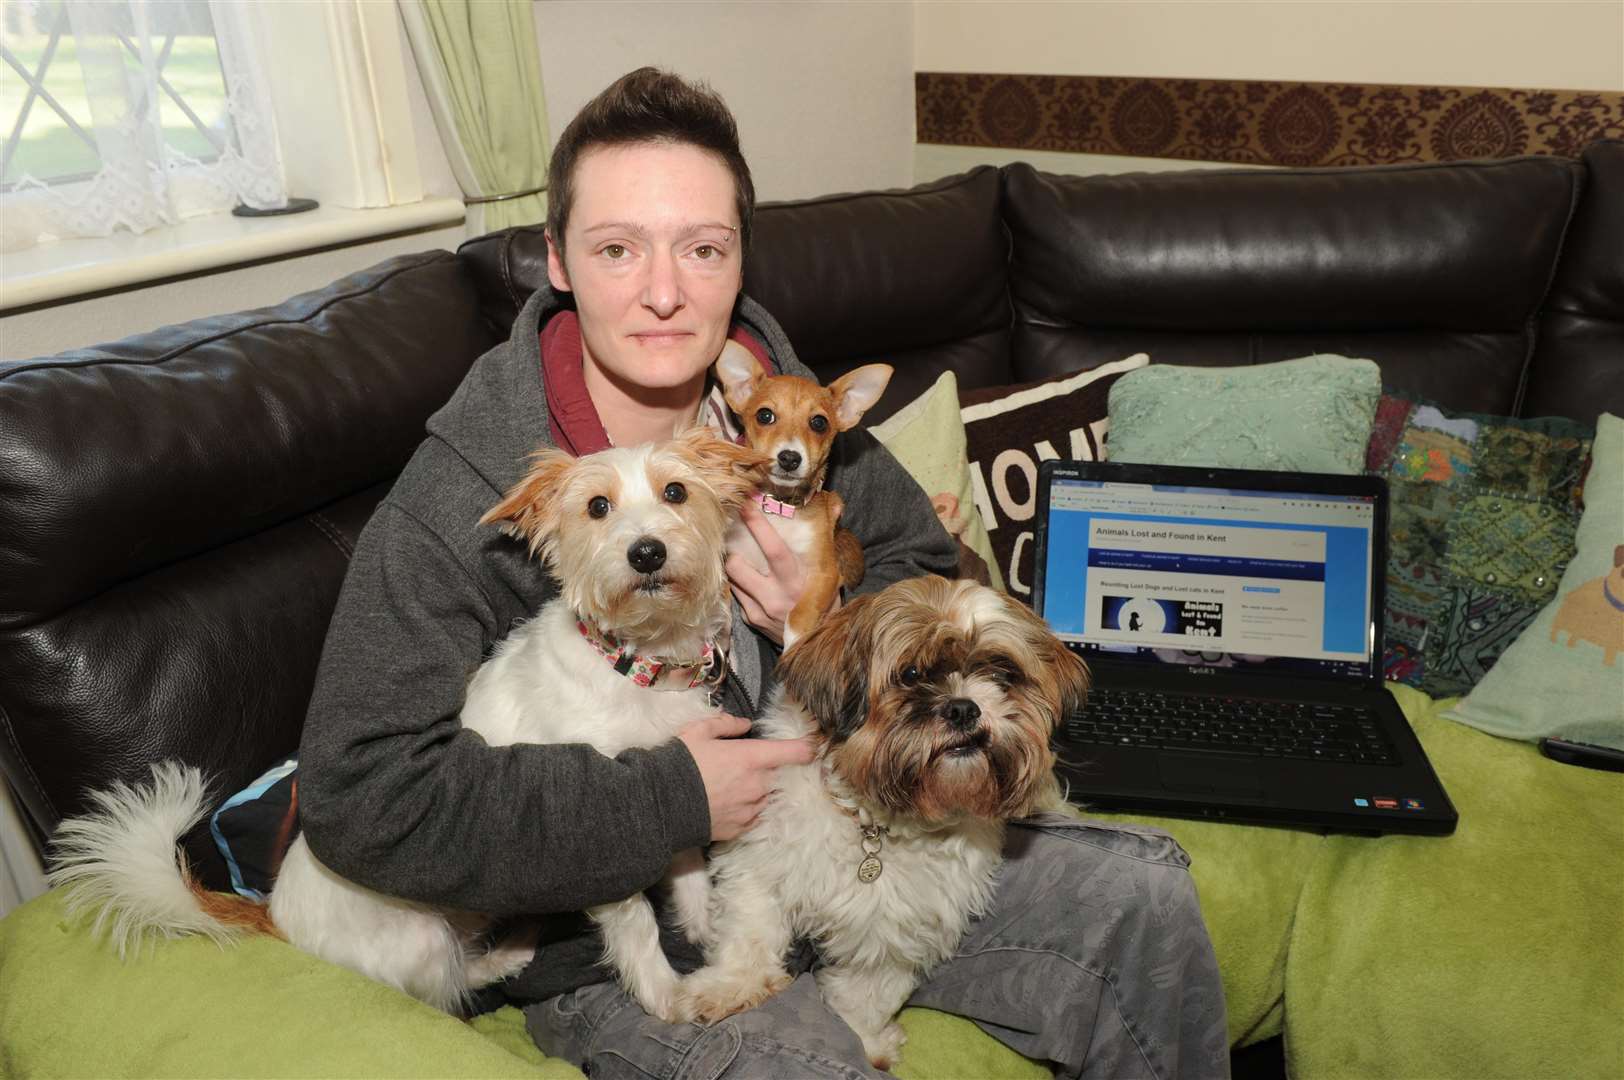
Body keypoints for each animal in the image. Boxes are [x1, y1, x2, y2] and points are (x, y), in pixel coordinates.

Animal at [672, 578, 1091, 1065]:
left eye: (1003, 675)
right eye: (909, 674)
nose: (964, 708)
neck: (873, 822)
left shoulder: (898, 926)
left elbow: (867, 995)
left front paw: (867, 1040)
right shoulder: (759, 864)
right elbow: (749, 936)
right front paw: (729, 987)